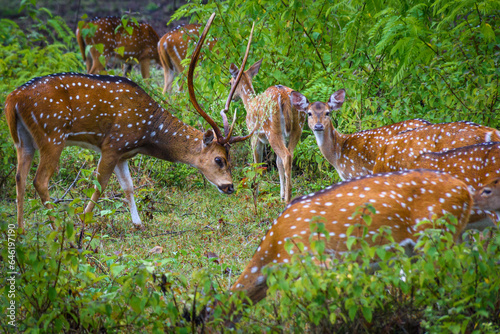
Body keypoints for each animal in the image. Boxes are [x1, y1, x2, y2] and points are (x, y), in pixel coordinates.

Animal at [5, 12, 252, 230]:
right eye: (219, 159)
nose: (230, 187)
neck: (145, 135)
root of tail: (12, 99)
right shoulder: (113, 144)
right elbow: (100, 185)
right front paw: (83, 221)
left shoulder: (123, 153)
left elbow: (129, 186)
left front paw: (138, 223)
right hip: (52, 135)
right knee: (39, 180)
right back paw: (56, 227)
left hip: (23, 139)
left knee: (19, 177)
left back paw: (21, 229)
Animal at [229, 59, 306, 202]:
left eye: (231, 82)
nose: (232, 97)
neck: (249, 104)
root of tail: (284, 96)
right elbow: (277, 162)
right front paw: (281, 194)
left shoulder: (254, 135)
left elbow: (257, 163)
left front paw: (255, 193)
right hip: (297, 128)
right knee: (289, 155)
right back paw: (287, 196)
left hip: (272, 130)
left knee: (286, 156)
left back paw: (287, 200)